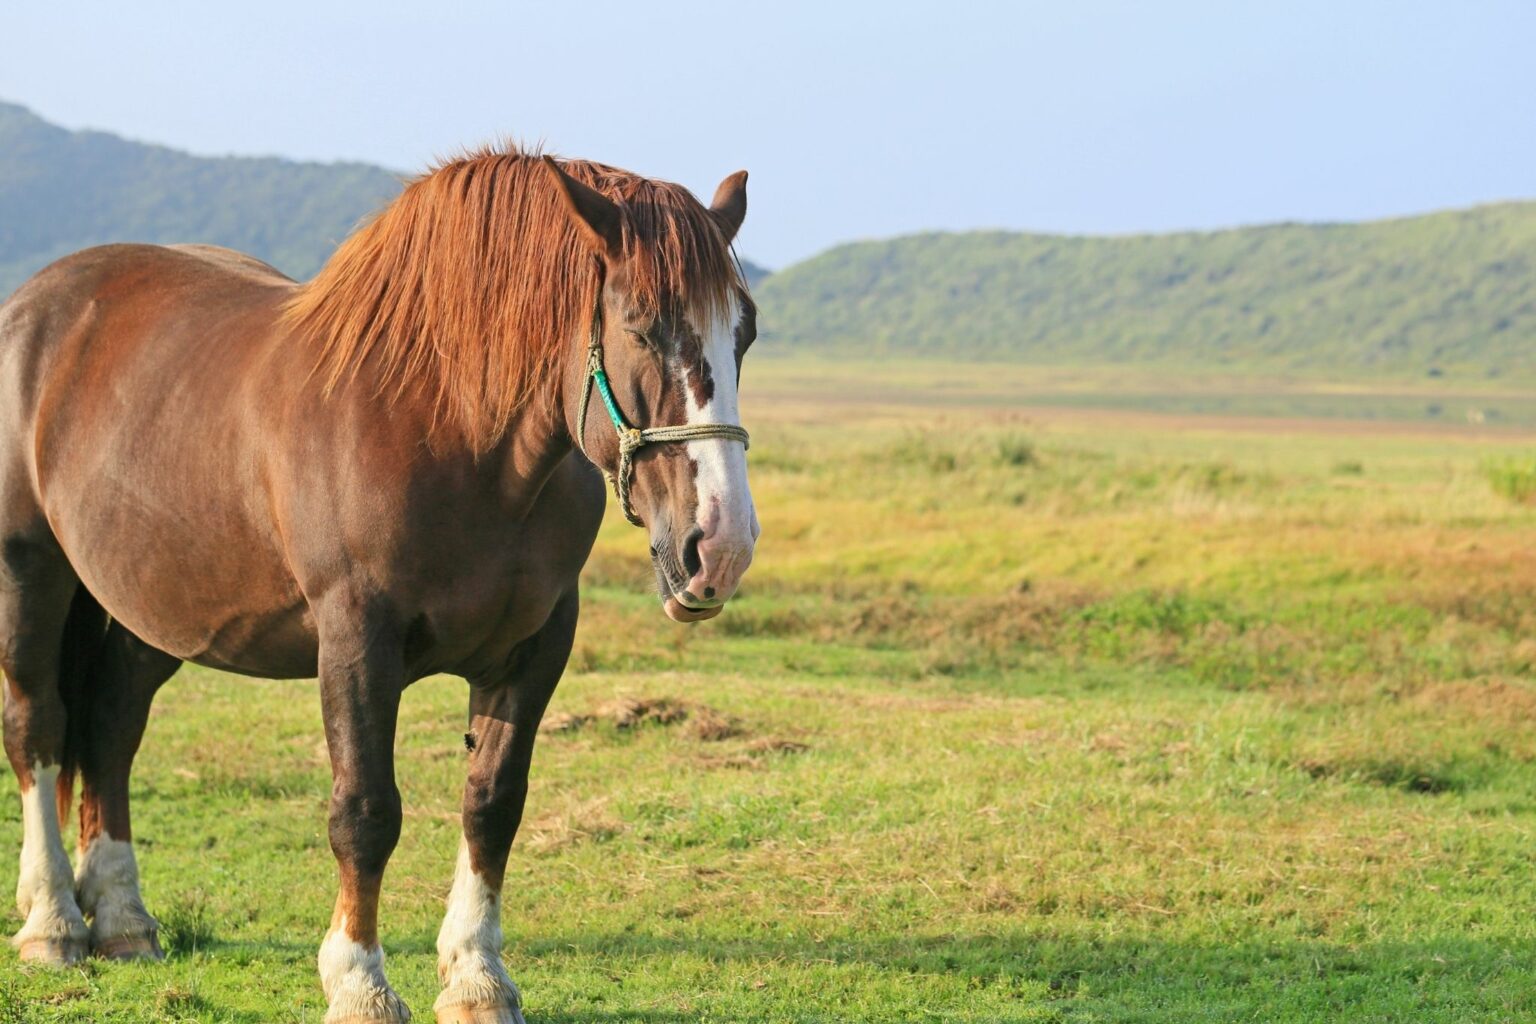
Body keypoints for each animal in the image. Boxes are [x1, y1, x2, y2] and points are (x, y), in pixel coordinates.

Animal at [0, 148, 759, 1023]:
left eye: (745, 331)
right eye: (638, 325)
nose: (721, 545)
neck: (451, 431)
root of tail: (36, 304)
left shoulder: (537, 646)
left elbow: (492, 803)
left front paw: (476, 977)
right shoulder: (356, 638)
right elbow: (365, 811)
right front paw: (358, 981)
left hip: (150, 606)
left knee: (112, 727)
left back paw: (123, 920)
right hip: (30, 572)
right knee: (38, 725)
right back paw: (53, 922)